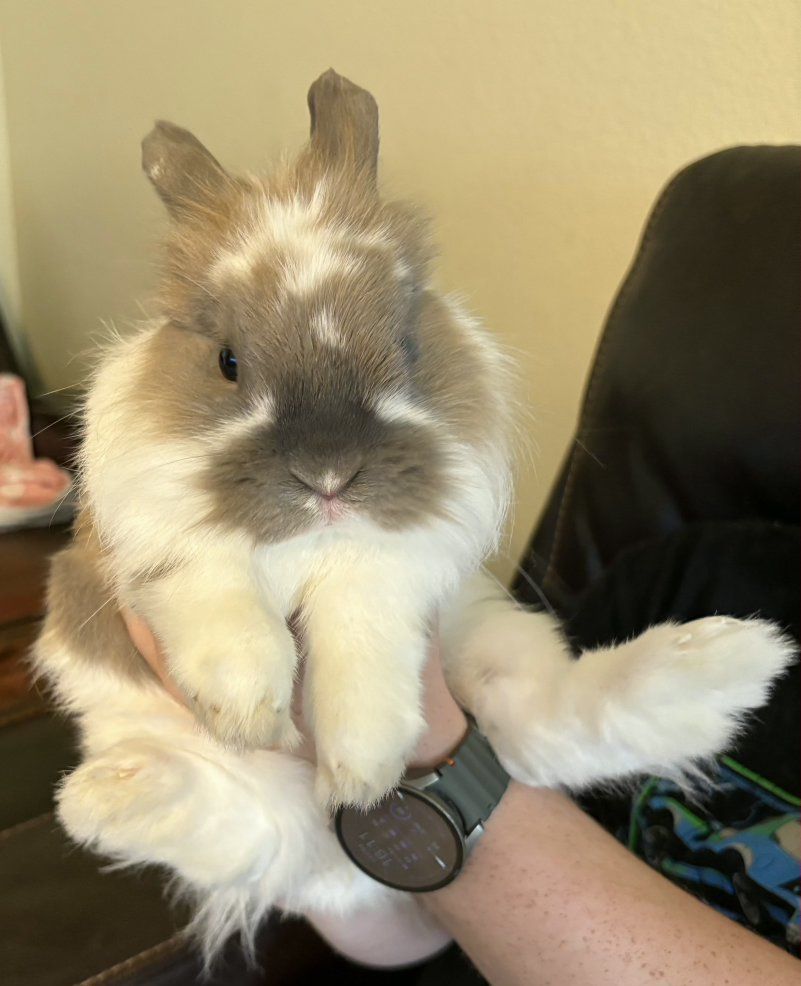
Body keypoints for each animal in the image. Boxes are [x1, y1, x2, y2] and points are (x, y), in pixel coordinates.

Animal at [34, 69, 795, 964]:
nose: (329, 475)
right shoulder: (150, 537)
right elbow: (216, 592)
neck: (312, 536)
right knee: (250, 834)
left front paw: (363, 764)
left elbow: (363, 627)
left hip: (494, 649)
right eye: (226, 361)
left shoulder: (397, 562)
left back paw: (728, 666)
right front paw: (248, 703)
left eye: (404, 345)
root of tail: (344, 875)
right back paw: (111, 797)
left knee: (546, 726)